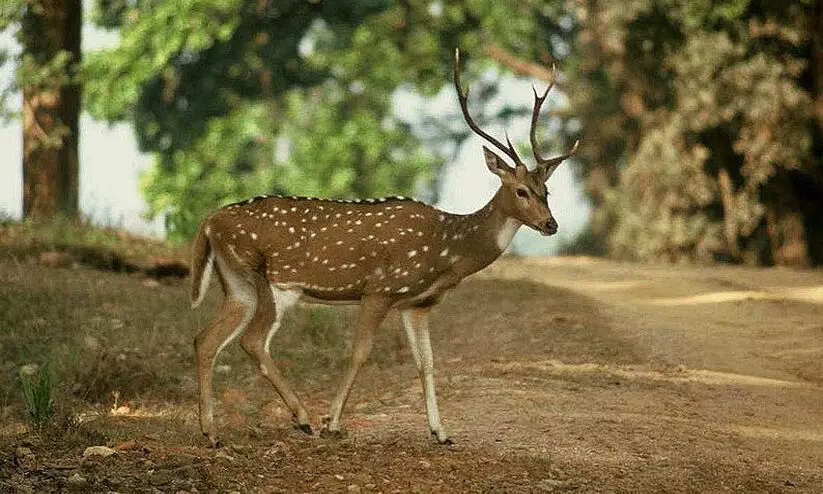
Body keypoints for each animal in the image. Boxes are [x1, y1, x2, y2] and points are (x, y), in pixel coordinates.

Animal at [189, 48, 579, 447]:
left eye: (546, 191)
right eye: (521, 191)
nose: (551, 224)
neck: (447, 250)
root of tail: (209, 222)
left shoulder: (416, 304)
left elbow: (427, 362)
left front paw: (441, 432)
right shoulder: (380, 288)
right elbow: (359, 353)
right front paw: (334, 422)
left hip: (237, 284)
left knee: (205, 339)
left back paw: (213, 432)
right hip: (273, 280)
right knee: (251, 341)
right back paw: (303, 420)